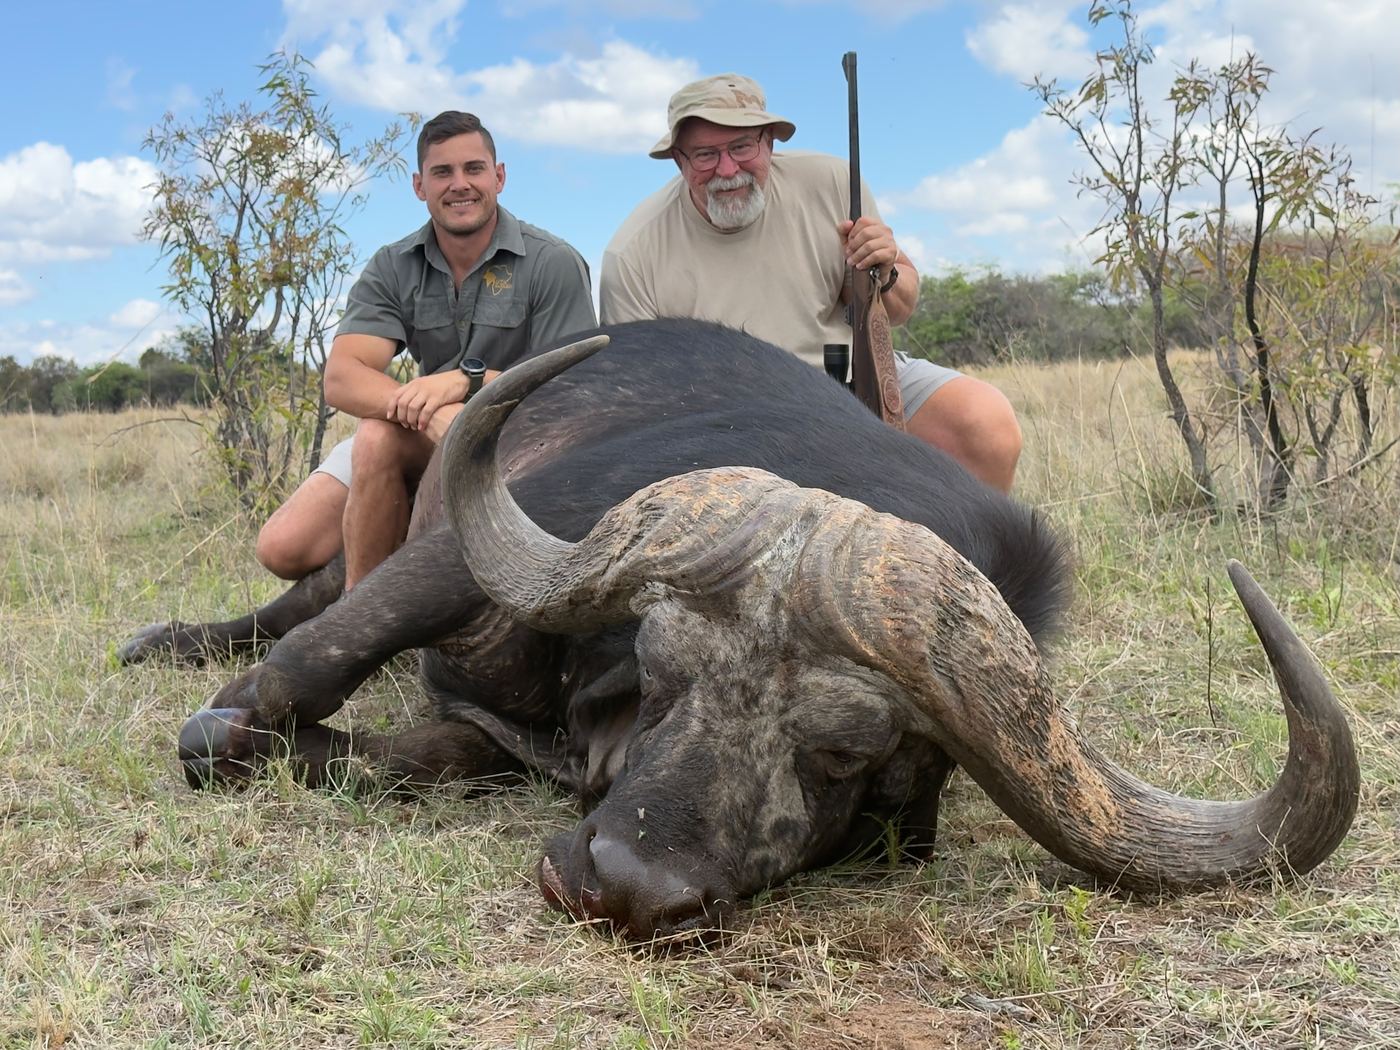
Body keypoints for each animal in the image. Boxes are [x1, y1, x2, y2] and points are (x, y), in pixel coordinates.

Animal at [125, 319, 1360, 939]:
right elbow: (267, 699)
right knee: (298, 605)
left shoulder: (485, 737)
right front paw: (228, 723)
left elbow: (399, 758)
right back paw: (168, 639)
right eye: (664, 674)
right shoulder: (464, 562)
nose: (617, 883)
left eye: (845, 755)